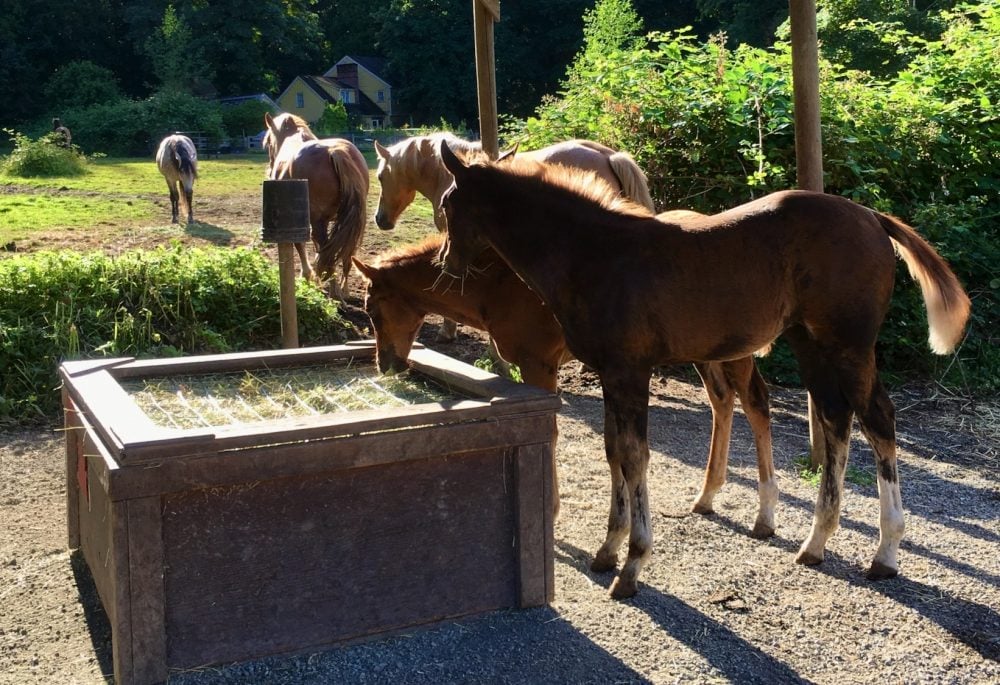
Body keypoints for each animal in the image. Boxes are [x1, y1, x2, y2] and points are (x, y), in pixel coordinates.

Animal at [266, 112, 372, 296]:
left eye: (267, 143)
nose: (270, 169)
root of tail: (335, 152)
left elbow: (301, 244)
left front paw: (307, 274)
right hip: (353, 222)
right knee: (345, 254)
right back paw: (343, 290)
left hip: (319, 221)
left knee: (327, 253)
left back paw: (333, 290)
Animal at [354, 232, 780, 532]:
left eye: (372, 309)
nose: (386, 365)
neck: (498, 283)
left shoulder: (539, 364)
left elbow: (551, 432)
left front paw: (552, 510)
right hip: (706, 351)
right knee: (722, 400)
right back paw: (707, 495)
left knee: (755, 403)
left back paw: (765, 517)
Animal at [438, 142, 968, 596]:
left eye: (446, 205)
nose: (446, 263)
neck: (594, 254)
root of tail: (872, 218)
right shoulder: (610, 373)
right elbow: (614, 452)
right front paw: (608, 549)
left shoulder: (630, 372)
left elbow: (635, 457)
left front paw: (632, 565)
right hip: (809, 343)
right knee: (836, 420)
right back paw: (815, 543)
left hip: (850, 346)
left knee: (878, 419)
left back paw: (886, 552)